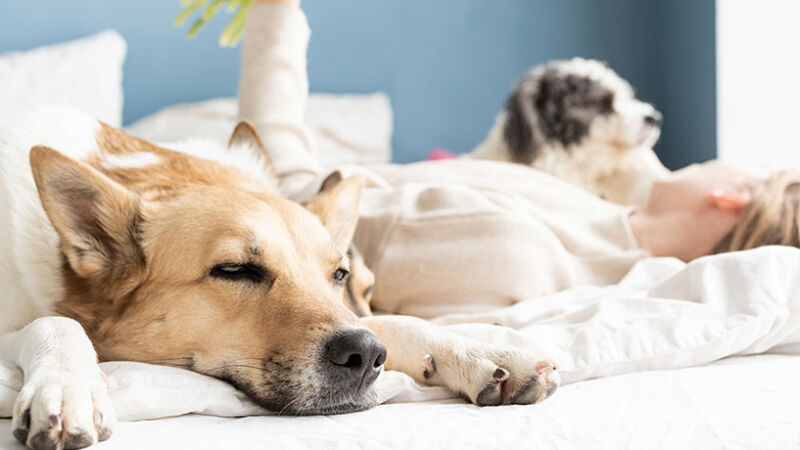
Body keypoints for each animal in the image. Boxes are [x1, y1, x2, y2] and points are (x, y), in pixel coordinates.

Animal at [0, 108, 556, 450]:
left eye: (338, 274)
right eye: (234, 270)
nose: (366, 357)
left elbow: (395, 322)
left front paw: (482, 352)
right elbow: (55, 324)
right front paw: (68, 388)